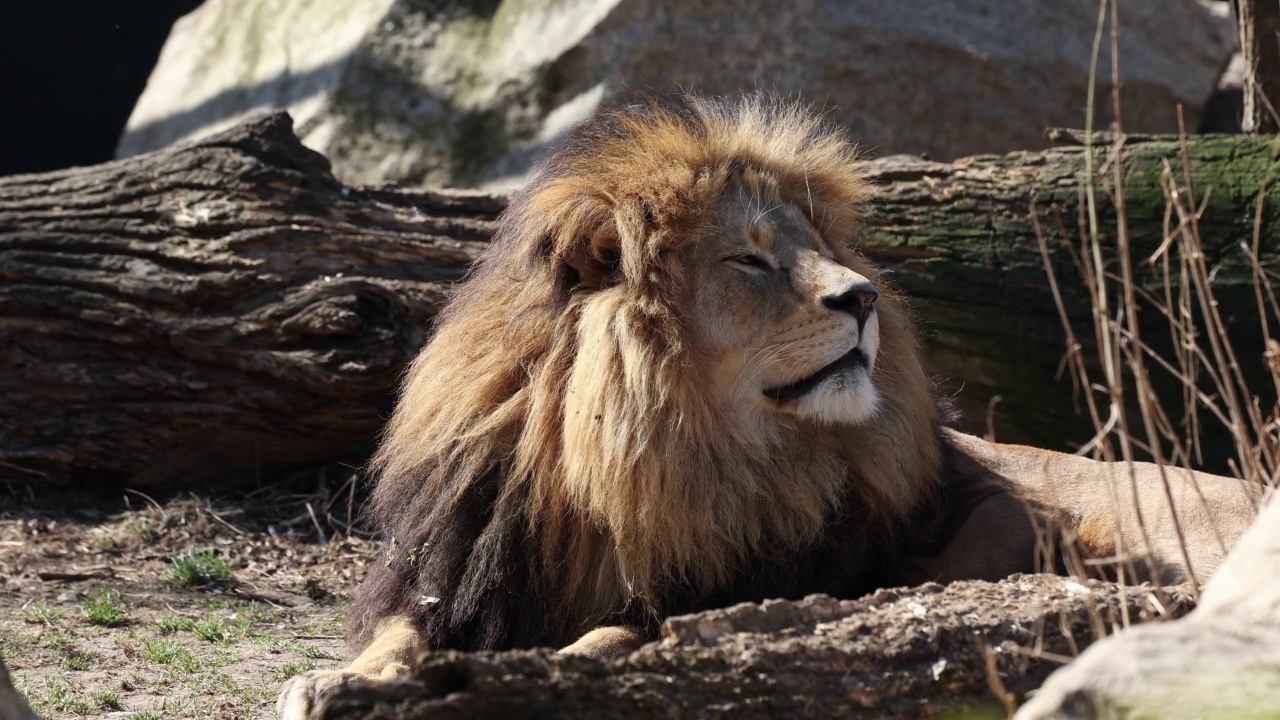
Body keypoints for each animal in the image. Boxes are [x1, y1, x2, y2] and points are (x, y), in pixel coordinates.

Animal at [275, 94, 1264, 712]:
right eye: (749, 259)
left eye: (818, 249)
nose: (863, 297)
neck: (651, 464)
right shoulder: (461, 575)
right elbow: (395, 634)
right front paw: (331, 683)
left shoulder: (739, 593)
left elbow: (611, 641)